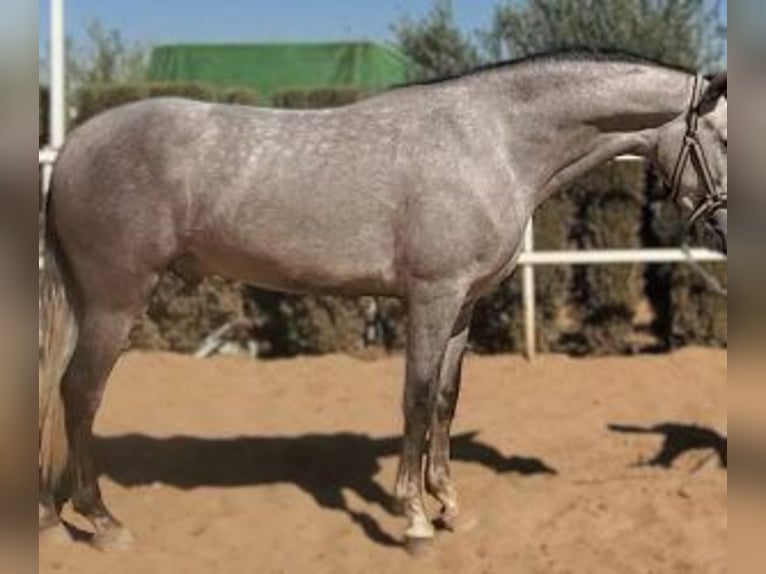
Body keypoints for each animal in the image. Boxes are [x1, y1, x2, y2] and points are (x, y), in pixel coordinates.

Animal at [39, 51, 727, 551]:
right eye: (723, 139)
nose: (726, 230)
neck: (492, 142)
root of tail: (72, 147)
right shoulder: (430, 297)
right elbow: (416, 399)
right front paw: (415, 517)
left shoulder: (463, 305)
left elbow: (446, 400)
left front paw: (449, 506)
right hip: (115, 302)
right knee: (79, 393)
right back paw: (104, 522)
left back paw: (53, 510)